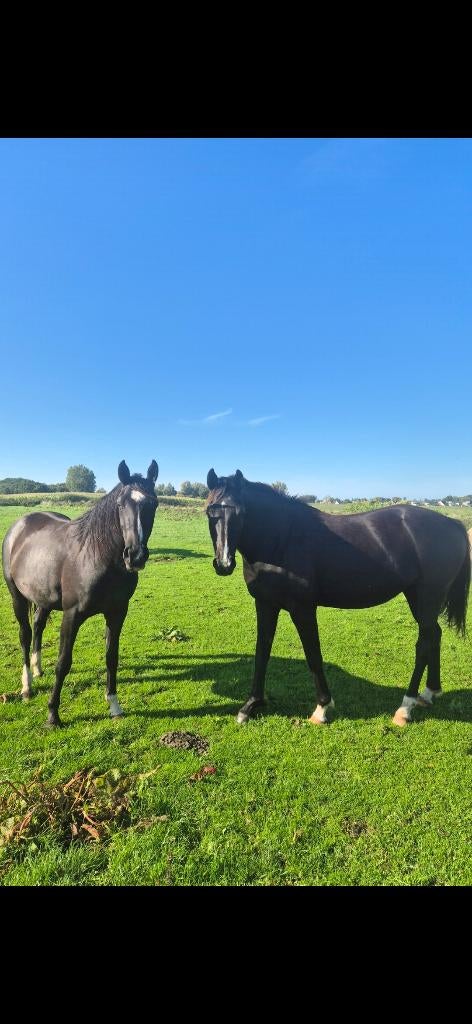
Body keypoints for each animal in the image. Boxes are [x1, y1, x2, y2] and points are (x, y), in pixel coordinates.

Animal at [2, 459, 159, 727]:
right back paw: (27, 687)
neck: (97, 557)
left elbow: (111, 657)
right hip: (17, 597)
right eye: (120, 504)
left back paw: (37, 668)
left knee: (38, 625)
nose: (135, 556)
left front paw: (114, 705)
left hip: (43, 598)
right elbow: (63, 663)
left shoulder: (117, 614)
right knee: (24, 634)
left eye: (154, 503)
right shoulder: (72, 615)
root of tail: (19, 526)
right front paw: (52, 714)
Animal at [205, 469, 470, 727]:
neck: (281, 539)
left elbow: (313, 655)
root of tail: (452, 523)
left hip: (426, 598)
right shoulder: (265, 604)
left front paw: (322, 708)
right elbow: (262, 651)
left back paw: (405, 707)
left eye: (241, 512)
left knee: (424, 643)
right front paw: (250, 705)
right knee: (434, 635)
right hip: (418, 598)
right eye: (210, 512)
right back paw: (429, 693)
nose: (224, 564)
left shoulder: (302, 608)